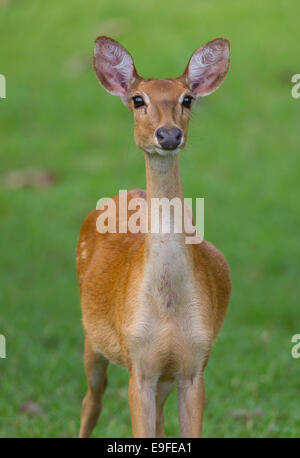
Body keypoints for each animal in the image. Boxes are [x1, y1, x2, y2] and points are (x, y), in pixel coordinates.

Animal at [77, 35, 232, 436]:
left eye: (187, 99)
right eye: (138, 99)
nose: (169, 135)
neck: (167, 310)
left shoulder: (194, 364)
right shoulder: (139, 364)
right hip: (92, 338)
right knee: (91, 401)